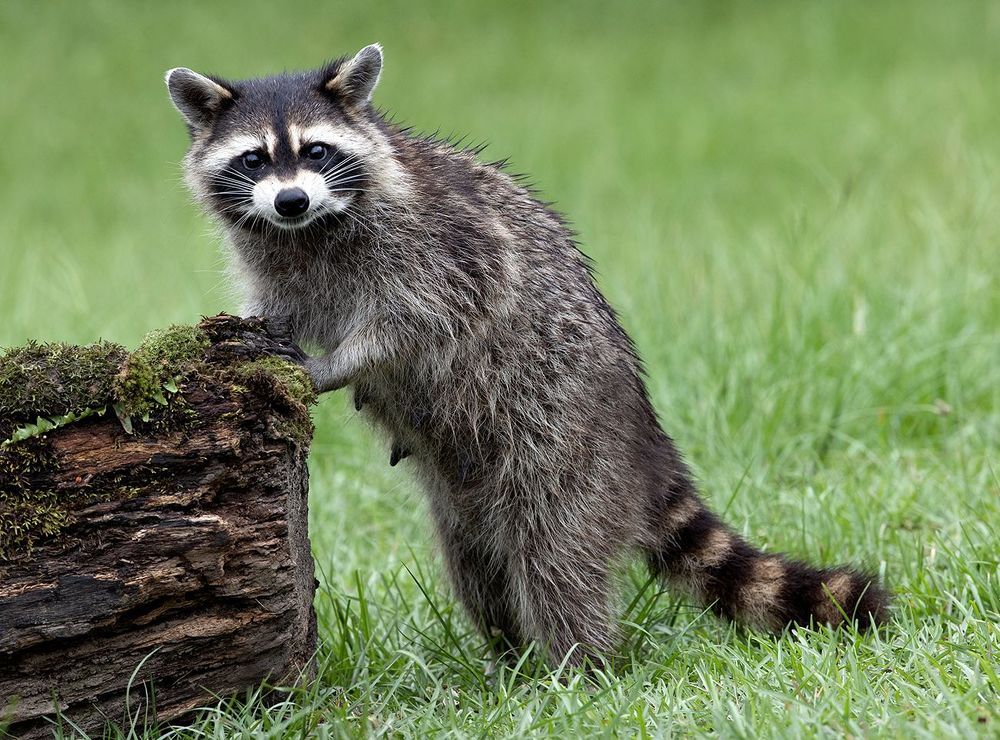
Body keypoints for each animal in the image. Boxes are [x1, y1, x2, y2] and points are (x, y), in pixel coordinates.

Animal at [166, 44, 889, 664]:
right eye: (255, 160)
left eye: (315, 150)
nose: (291, 199)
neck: (306, 230)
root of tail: (643, 438)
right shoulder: (271, 255)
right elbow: (278, 306)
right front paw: (253, 335)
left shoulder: (440, 248)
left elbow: (418, 320)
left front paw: (336, 365)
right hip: (466, 495)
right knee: (476, 567)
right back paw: (508, 656)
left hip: (565, 448)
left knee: (556, 556)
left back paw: (581, 665)